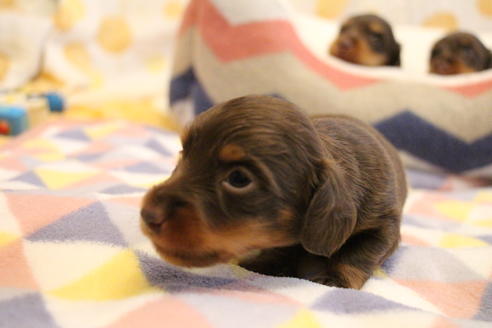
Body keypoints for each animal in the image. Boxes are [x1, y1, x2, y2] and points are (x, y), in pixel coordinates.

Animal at [141, 95, 408, 290]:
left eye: (238, 179)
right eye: (183, 155)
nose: (147, 214)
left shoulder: (385, 225)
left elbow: (358, 253)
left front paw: (337, 279)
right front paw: (267, 262)